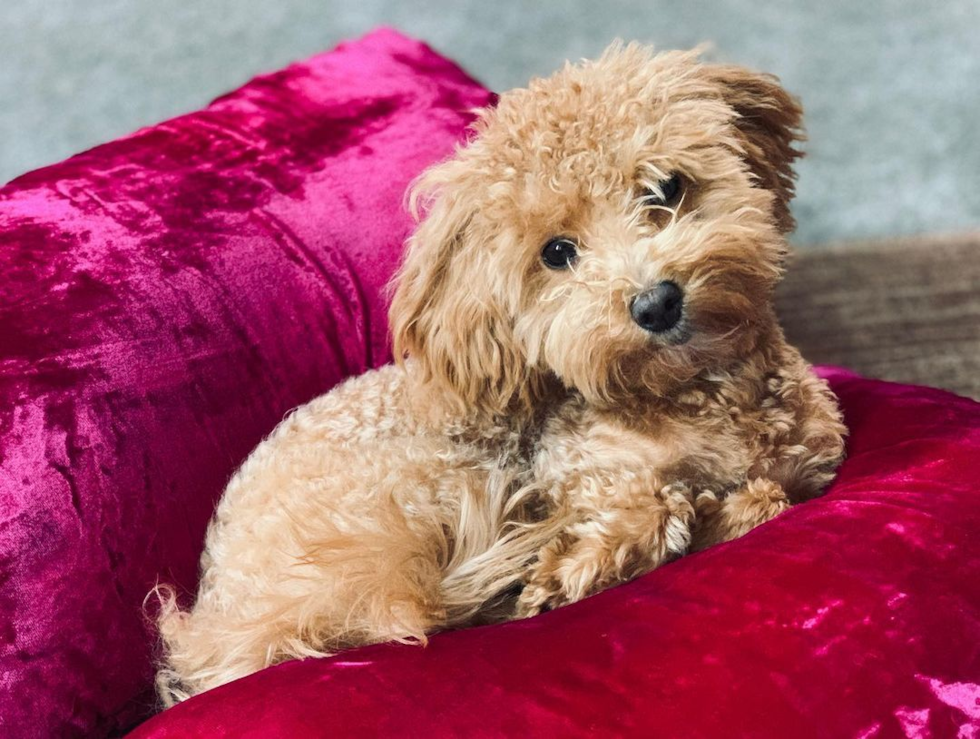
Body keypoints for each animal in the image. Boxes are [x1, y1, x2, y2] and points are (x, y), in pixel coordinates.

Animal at [153, 40, 844, 704]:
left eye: (666, 188)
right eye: (557, 253)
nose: (655, 303)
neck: (696, 391)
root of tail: (227, 627)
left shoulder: (807, 460)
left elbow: (768, 494)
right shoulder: (570, 470)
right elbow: (646, 507)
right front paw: (573, 569)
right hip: (425, 483)